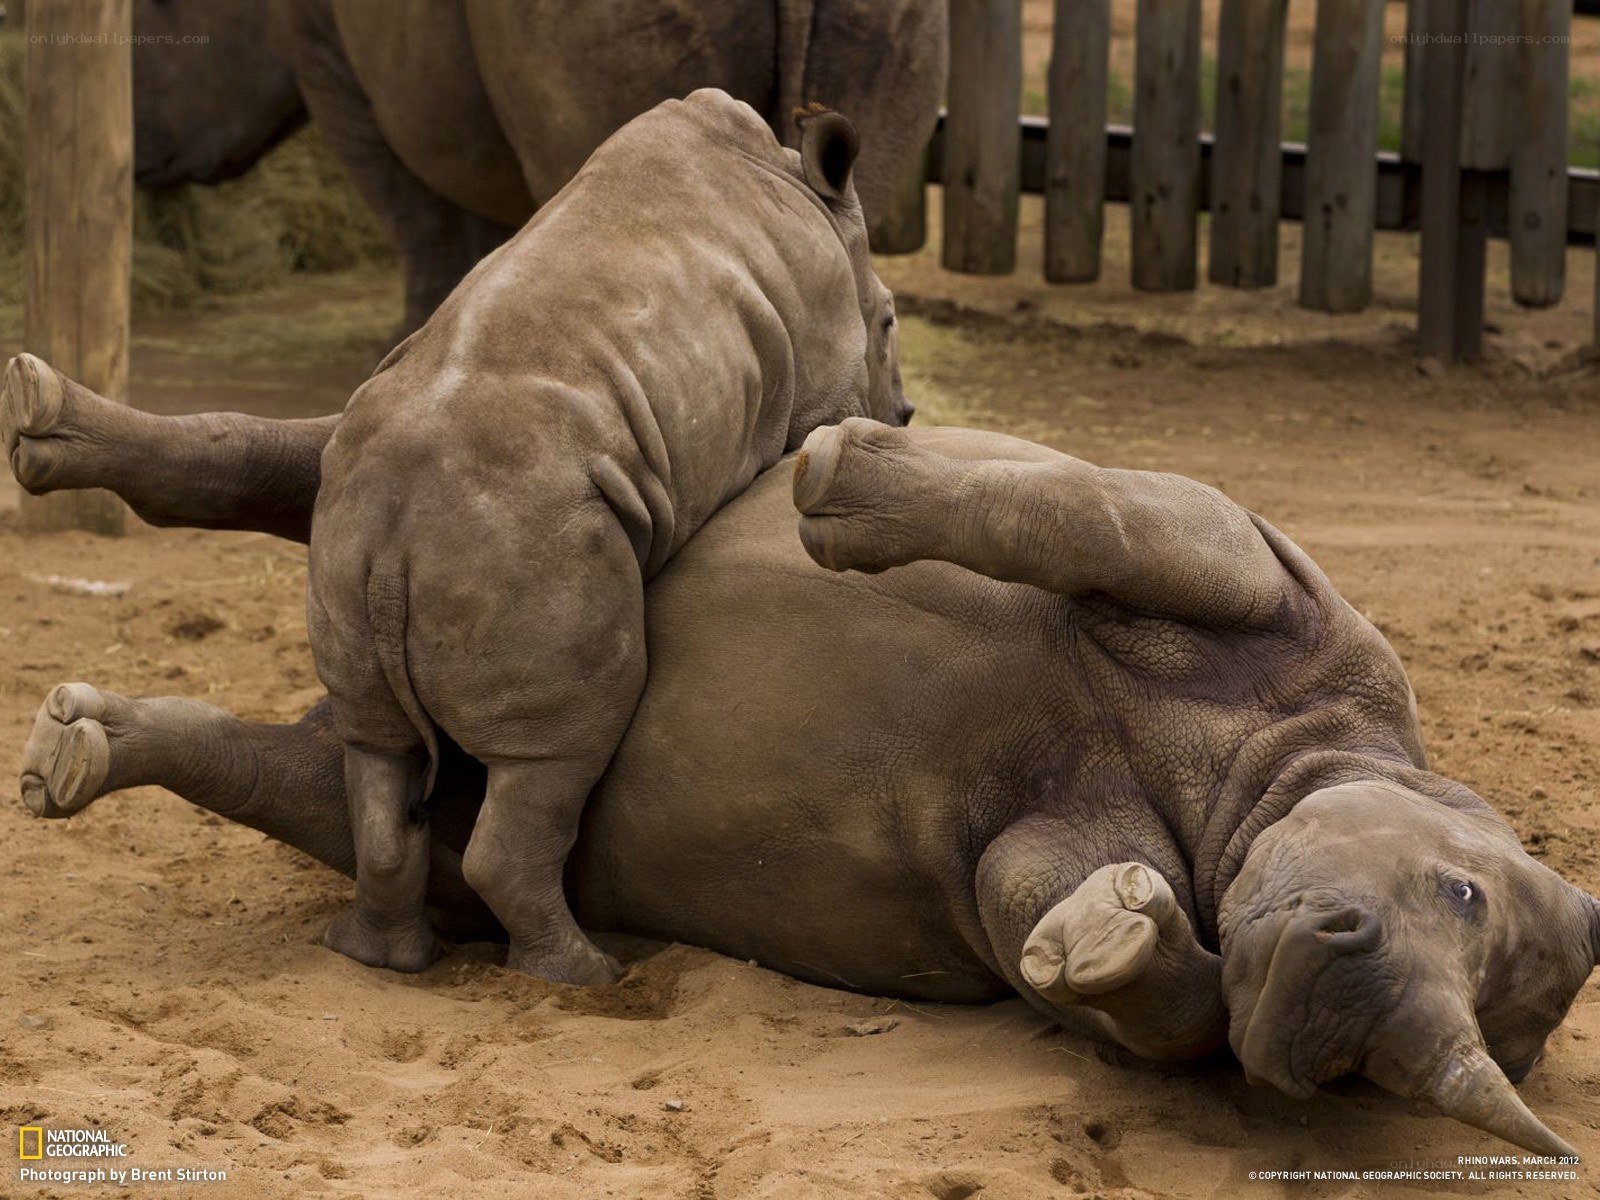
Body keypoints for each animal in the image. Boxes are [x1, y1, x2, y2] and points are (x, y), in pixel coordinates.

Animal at [6, 358, 1597, 1156]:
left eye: (1362, 1078)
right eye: (1458, 893)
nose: (1324, 996)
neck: (1255, 780)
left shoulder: (1055, 840)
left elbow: (1102, 950)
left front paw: (1113, 938)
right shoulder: (1267, 583)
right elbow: (1108, 520)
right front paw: (845, 484)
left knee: (376, 797)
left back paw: (78, 750)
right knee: (337, 453)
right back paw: (49, 429)